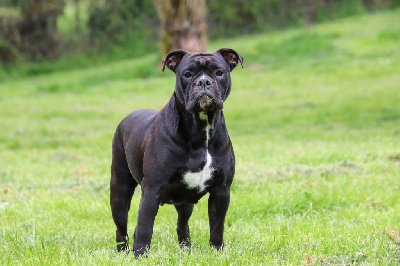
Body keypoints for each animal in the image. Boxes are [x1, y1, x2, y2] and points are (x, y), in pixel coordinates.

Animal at [111, 47, 245, 258]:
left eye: (219, 72)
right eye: (187, 74)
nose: (204, 82)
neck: (201, 128)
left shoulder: (221, 190)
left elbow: (217, 226)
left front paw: (217, 251)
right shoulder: (151, 190)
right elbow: (144, 227)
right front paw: (140, 255)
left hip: (185, 201)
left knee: (182, 224)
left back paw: (186, 249)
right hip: (120, 189)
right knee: (121, 226)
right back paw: (122, 252)